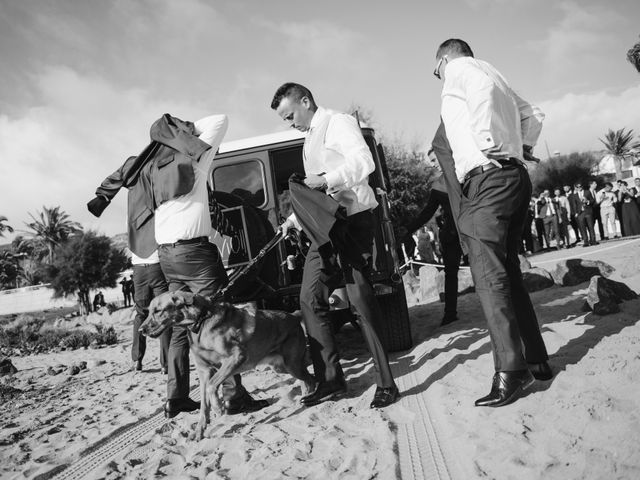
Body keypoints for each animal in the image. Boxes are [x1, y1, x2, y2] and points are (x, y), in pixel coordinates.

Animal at [139, 290, 316, 440]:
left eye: (158, 311)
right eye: (149, 311)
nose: (141, 330)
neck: (201, 321)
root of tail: (293, 315)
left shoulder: (236, 357)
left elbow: (212, 386)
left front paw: (218, 407)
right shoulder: (204, 371)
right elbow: (203, 406)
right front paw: (199, 431)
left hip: (291, 364)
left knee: (310, 375)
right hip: (282, 366)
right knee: (307, 375)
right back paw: (306, 393)